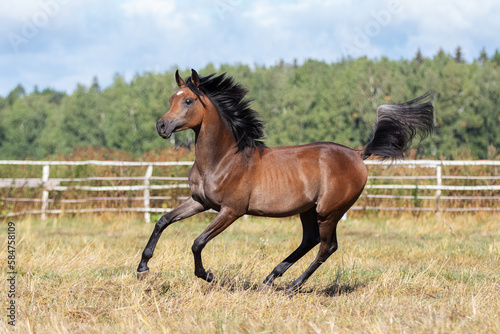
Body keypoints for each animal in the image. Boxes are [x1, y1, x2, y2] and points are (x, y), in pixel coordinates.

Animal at [138, 68, 434, 292]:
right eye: (171, 98)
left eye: (188, 101)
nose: (161, 126)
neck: (223, 158)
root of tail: (358, 154)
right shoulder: (200, 202)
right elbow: (162, 221)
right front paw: (142, 267)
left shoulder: (231, 210)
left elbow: (198, 242)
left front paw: (208, 275)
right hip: (308, 210)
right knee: (310, 241)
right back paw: (271, 278)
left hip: (329, 212)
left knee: (326, 247)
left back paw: (292, 285)